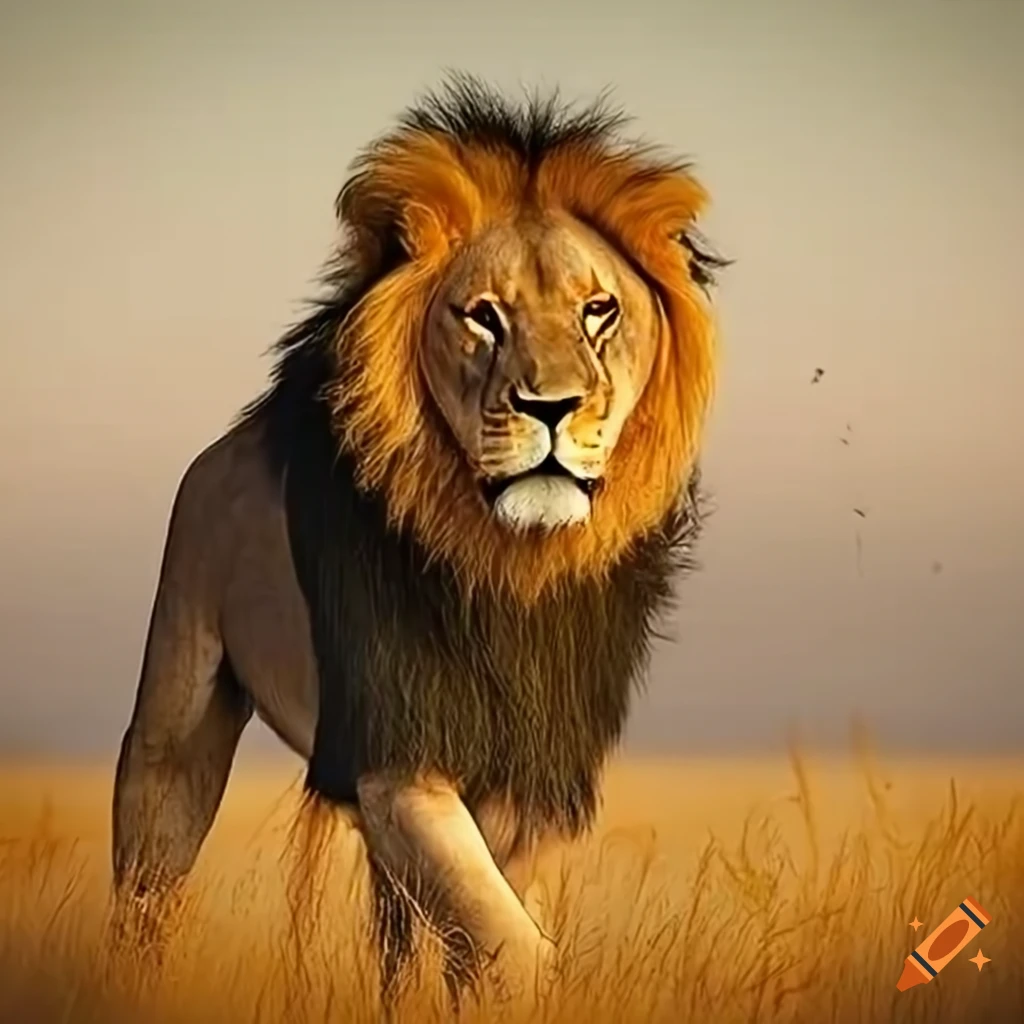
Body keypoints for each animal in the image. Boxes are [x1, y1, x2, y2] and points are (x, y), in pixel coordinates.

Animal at [110, 74, 726, 1004]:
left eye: (599, 312)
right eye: (483, 318)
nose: (552, 407)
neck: (509, 568)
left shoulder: (522, 777)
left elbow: (486, 933)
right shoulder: (393, 756)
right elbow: (508, 940)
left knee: (398, 935)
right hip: (175, 716)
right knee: (148, 881)